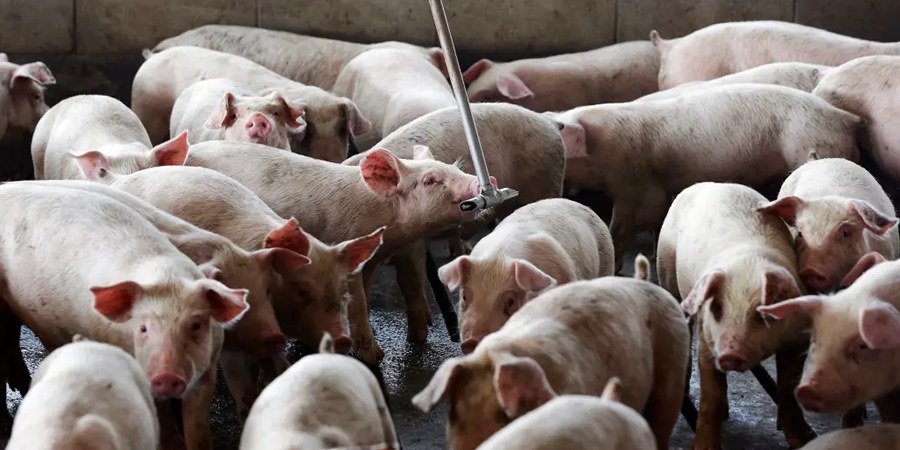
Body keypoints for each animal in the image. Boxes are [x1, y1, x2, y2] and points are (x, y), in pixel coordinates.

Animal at [183, 140, 487, 363]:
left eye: (454, 167)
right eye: (430, 180)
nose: (478, 182)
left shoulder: (373, 259)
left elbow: (365, 292)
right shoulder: (345, 243)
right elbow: (359, 301)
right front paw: (374, 355)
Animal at [656, 182, 815, 449]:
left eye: (761, 313)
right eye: (718, 308)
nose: (730, 354)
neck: (747, 267)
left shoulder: (796, 339)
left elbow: (788, 390)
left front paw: (804, 439)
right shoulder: (708, 338)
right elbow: (710, 397)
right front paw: (703, 447)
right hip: (666, 269)